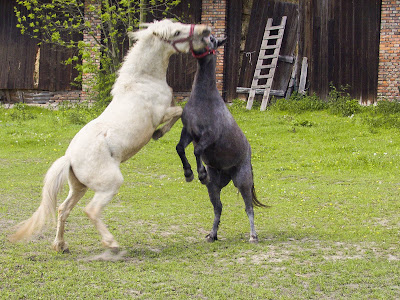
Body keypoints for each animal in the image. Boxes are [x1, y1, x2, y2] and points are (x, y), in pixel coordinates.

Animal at [9, 19, 212, 253]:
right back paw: (111, 243)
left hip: (79, 187)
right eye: (177, 32)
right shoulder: (161, 114)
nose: (206, 30)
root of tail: (70, 158)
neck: (142, 82)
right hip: (110, 184)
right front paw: (158, 134)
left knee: (62, 209)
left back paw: (61, 245)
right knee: (91, 210)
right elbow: (179, 112)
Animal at [176, 35, 266, 243]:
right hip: (214, 187)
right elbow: (180, 148)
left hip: (243, 181)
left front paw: (200, 173)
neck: (204, 101)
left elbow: (197, 150)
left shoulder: (209, 136)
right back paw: (212, 235)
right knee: (218, 208)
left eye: (211, 39)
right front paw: (188, 173)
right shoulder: (188, 132)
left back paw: (253, 236)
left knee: (249, 208)